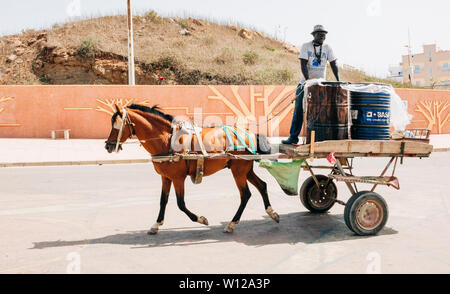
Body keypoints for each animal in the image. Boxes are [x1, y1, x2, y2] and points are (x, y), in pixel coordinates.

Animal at [105, 103, 280, 234]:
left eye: (117, 125)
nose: (108, 146)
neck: (167, 140)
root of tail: (249, 133)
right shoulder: (165, 177)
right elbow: (163, 201)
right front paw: (156, 224)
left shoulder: (178, 178)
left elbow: (180, 203)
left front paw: (201, 219)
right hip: (245, 169)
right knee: (262, 186)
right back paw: (272, 213)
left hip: (238, 171)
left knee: (245, 194)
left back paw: (231, 223)